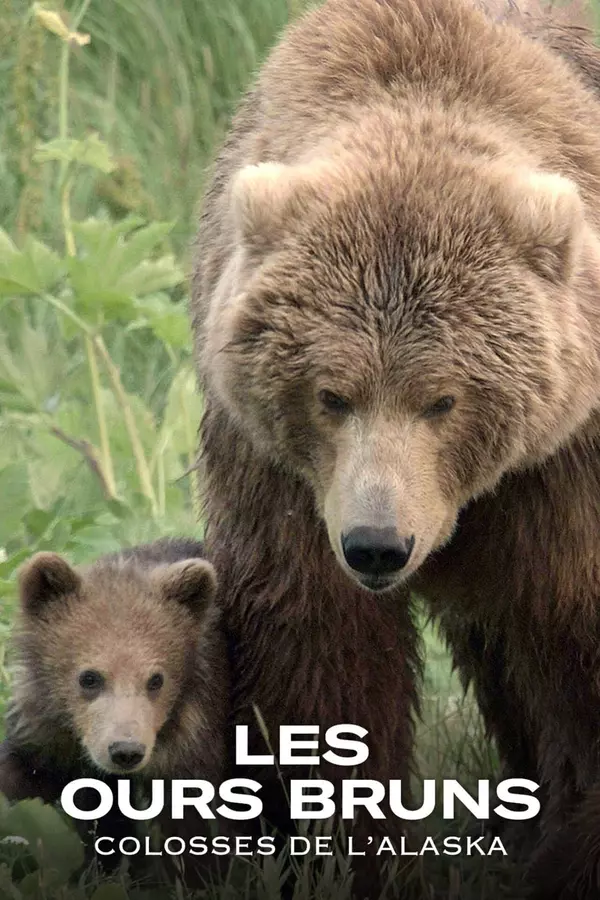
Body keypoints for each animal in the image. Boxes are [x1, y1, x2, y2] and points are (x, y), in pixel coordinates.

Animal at [0, 537, 229, 885]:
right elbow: (26, 782)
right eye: (89, 677)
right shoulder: (47, 731)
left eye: (156, 679)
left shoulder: (191, 744)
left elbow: (192, 826)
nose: (125, 751)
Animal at [191, 0, 600, 896]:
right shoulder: (281, 478)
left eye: (443, 398)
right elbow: (319, 651)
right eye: (331, 394)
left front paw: (569, 857)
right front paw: (346, 853)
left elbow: (574, 626)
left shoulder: (562, 466)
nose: (379, 544)